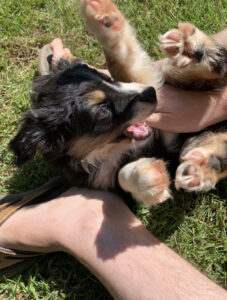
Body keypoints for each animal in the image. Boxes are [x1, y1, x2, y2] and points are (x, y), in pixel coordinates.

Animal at [8, 0, 225, 206]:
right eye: (103, 111)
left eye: (107, 80)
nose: (152, 94)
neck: (109, 150)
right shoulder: (104, 182)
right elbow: (121, 176)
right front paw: (148, 179)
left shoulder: (146, 80)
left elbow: (123, 62)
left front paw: (104, 18)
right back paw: (199, 168)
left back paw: (190, 49)